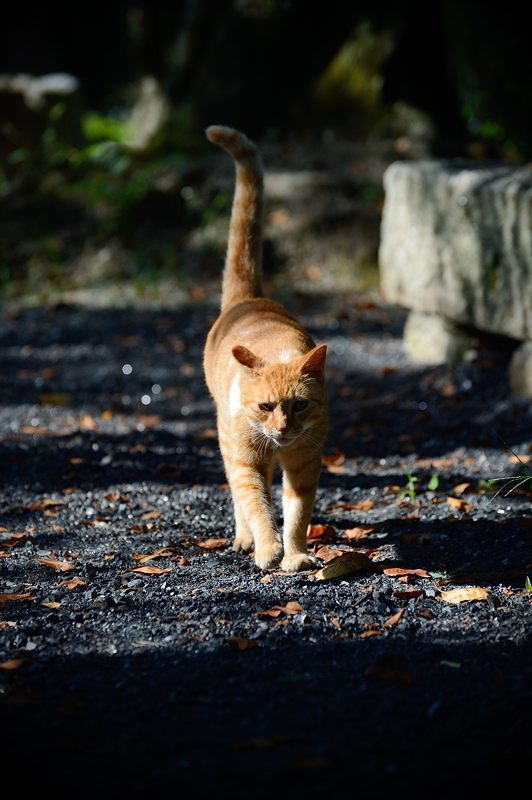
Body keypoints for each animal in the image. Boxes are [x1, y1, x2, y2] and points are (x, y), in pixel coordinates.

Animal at [204, 125, 328, 572]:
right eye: (266, 406)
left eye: (300, 405)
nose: (283, 428)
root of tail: (250, 298)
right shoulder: (246, 462)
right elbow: (257, 506)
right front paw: (268, 549)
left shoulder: (305, 465)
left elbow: (297, 514)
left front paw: (295, 554)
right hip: (227, 444)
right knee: (240, 500)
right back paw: (246, 540)